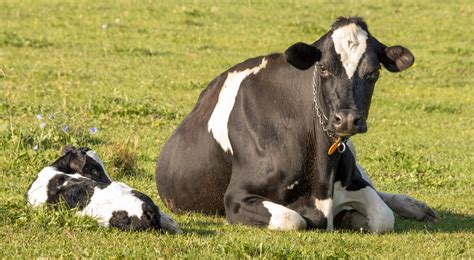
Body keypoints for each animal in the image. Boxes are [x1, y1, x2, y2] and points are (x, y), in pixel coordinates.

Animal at [156, 16, 436, 232]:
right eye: (323, 68)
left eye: (374, 72)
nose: (347, 120)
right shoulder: (237, 197)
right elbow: (293, 219)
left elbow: (382, 216)